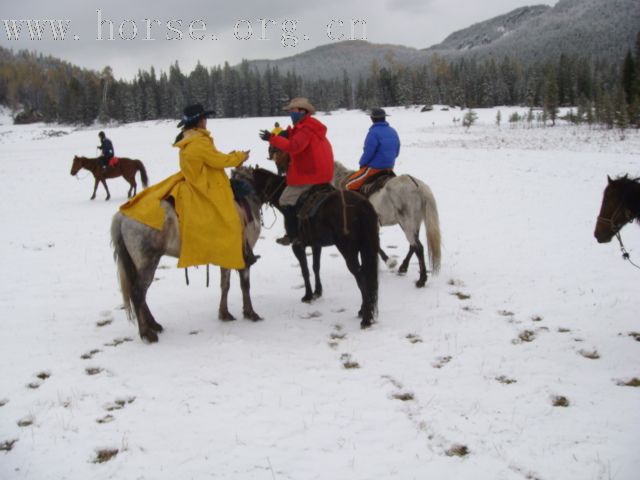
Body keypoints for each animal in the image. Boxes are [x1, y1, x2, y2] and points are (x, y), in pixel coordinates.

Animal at [110, 178, 262, 344]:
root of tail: (122, 216)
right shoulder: (243, 257)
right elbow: (245, 285)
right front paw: (250, 313)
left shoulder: (227, 257)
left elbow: (225, 285)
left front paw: (225, 314)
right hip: (148, 263)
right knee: (138, 293)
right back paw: (147, 333)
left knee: (140, 295)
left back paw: (154, 325)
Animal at [239, 167, 380, 328]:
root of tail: (362, 206)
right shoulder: (316, 244)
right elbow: (315, 267)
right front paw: (317, 291)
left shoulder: (298, 246)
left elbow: (305, 270)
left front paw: (308, 295)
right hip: (364, 248)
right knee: (366, 276)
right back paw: (364, 311)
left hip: (348, 251)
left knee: (361, 277)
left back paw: (366, 317)